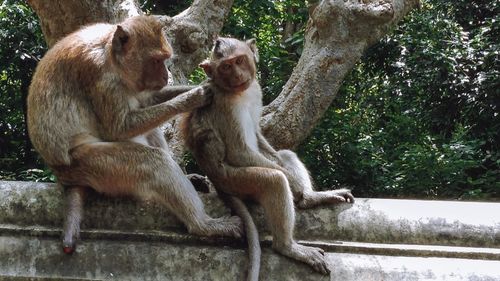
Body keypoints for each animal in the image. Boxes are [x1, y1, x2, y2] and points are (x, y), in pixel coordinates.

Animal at [26, 15, 243, 253]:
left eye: (165, 59)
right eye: (157, 61)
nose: (165, 76)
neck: (110, 55)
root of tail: (61, 174)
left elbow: (148, 100)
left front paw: (202, 87)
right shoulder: (100, 77)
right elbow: (118, 128)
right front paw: (194, 97)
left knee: (152, 129)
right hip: (90, 164)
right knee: (153, 162)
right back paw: (204, 225)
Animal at [184, 37, 356, 276]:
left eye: (239, 61)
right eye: (225, 67)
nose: (237, 75)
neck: (238, 92)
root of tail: (217, 182)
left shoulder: (255, 90)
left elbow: (259, 136)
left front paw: (300, 187)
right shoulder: (224, 105)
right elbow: (239, 151)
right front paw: (295, 185)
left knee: (285, 156)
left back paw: (311, 197)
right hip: (234, 180)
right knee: (274, 180)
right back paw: (288, 247)